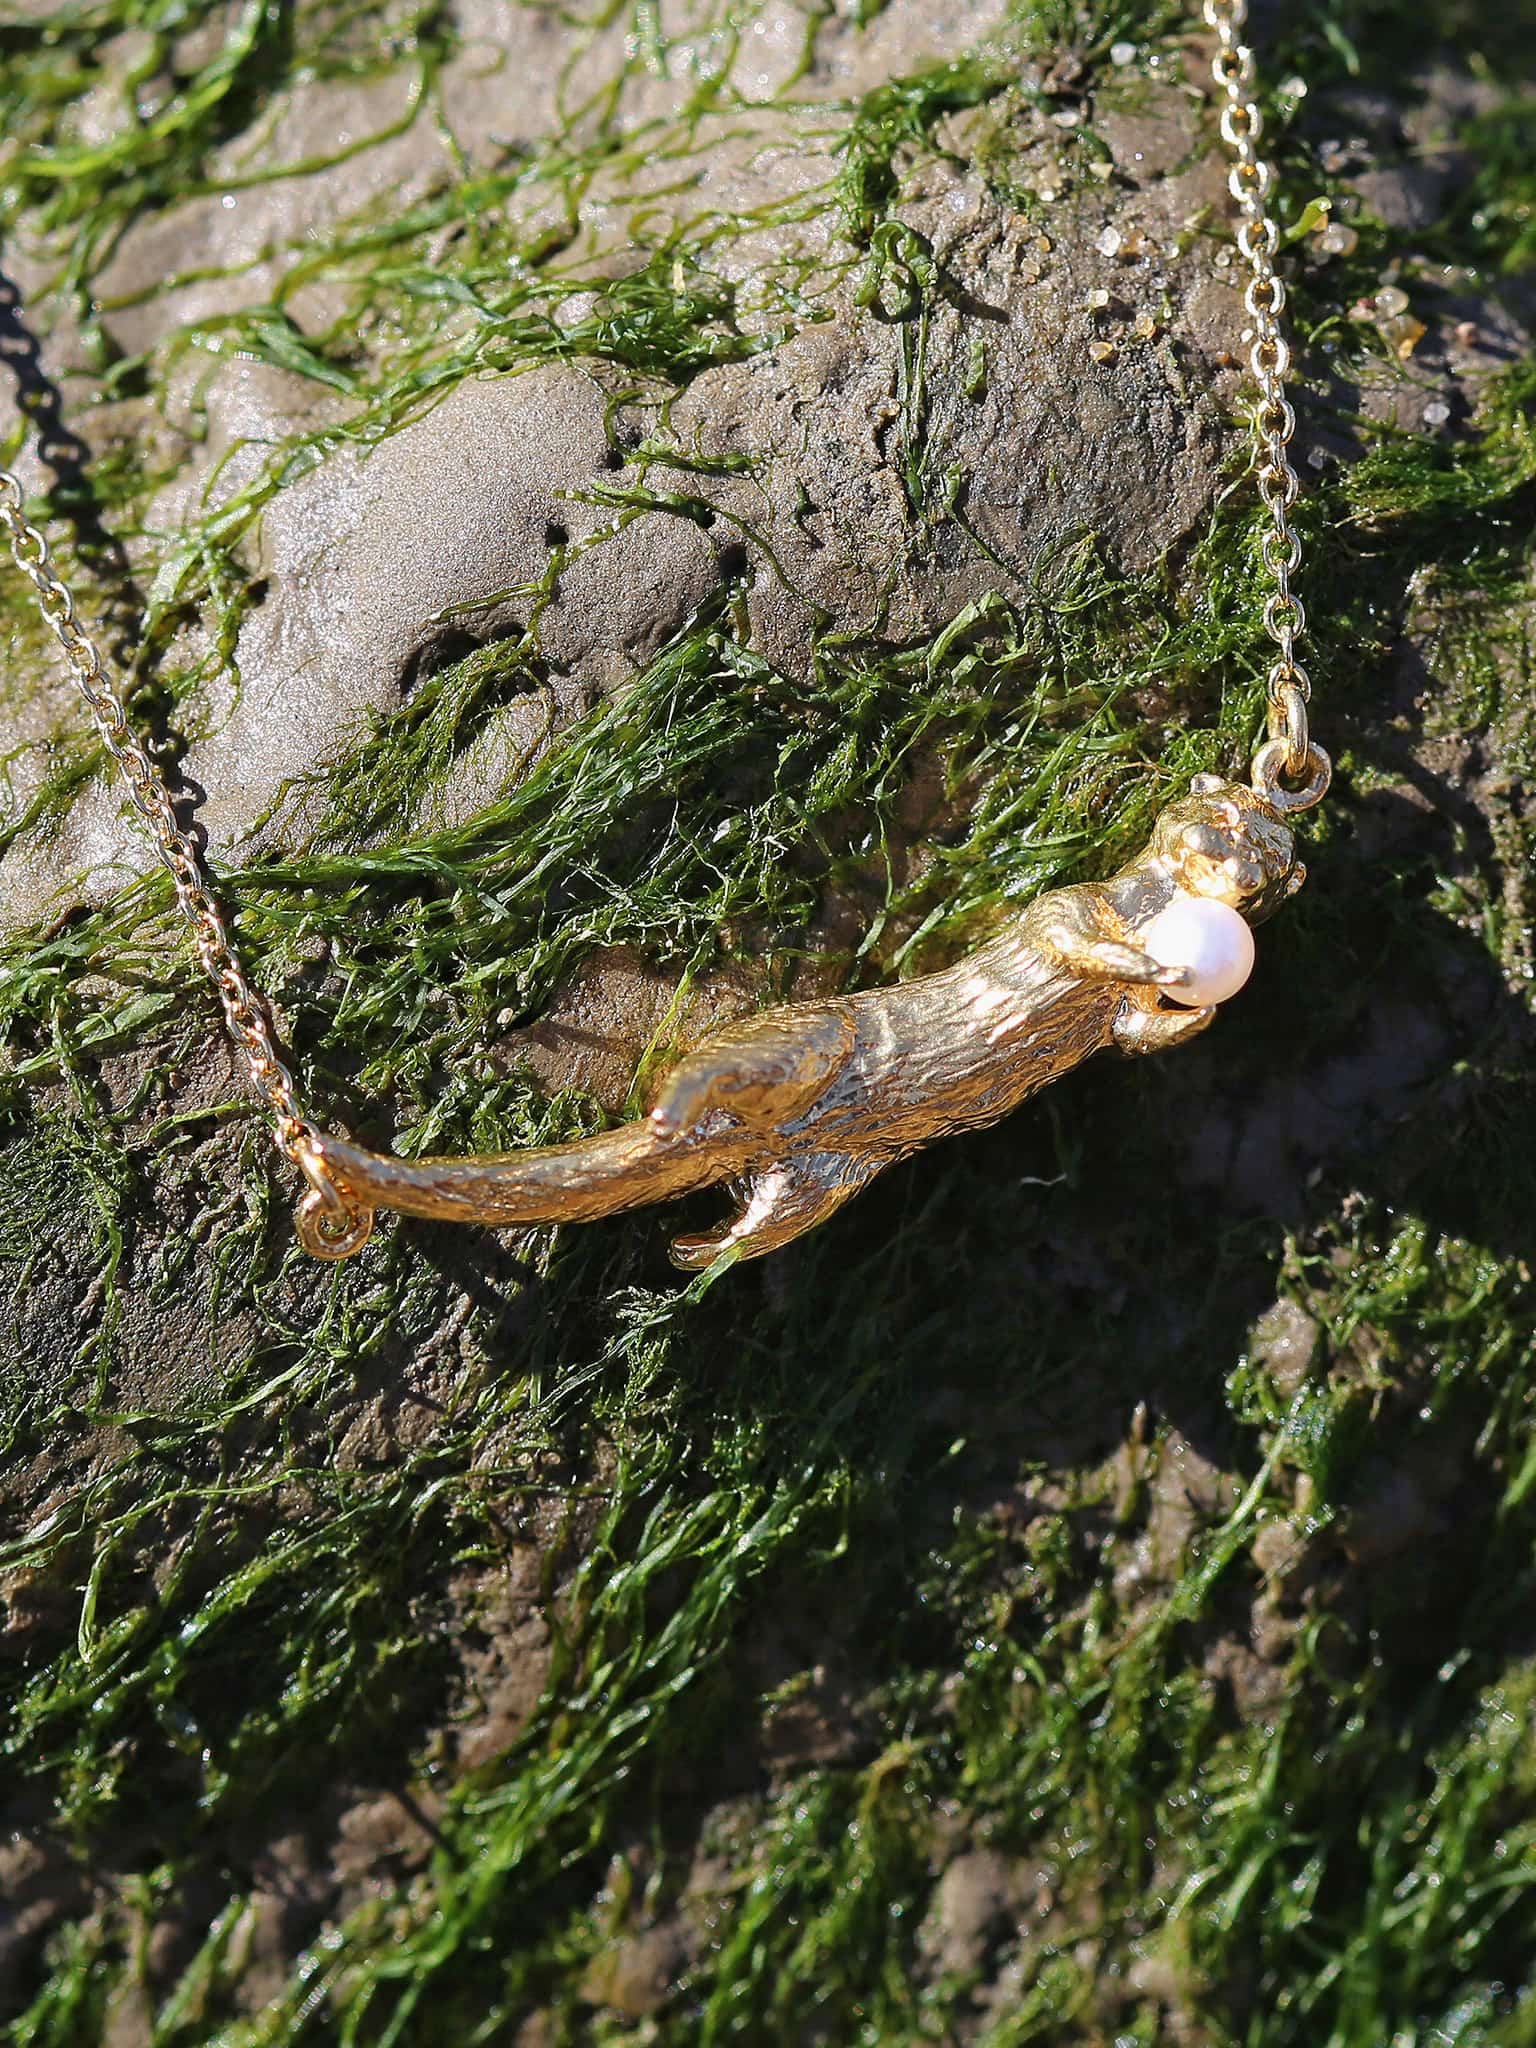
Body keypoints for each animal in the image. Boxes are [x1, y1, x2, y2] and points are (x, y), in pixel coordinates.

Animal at [297, 775, 1304, 1266]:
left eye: (1275, 859)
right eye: (1224, 824)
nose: (1254, 863)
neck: (1152, 905)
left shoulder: (1115, 1023)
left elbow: (1132, 1033)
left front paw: (1187, 1004)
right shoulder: (1069, 906)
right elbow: (1078, 941)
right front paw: (1162, 963)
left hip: (822, 1178)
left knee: (765, 1220)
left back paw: (697, 1245)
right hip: (810, 1037)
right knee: (706, 1068)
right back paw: (674, 1109)